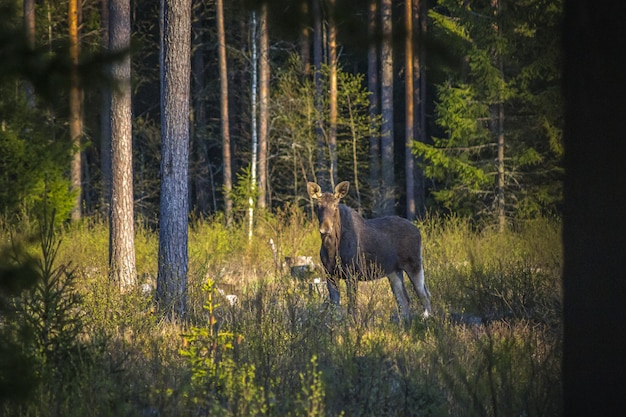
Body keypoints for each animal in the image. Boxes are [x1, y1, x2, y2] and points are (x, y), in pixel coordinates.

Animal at [306, 180, 428, 318]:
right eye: (318, 206)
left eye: (335, 205)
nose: (325, 228)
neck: (332, 248)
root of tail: (418, 231)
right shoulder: (330, 274)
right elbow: (336, 309)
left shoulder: (352, 274)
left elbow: (352, 307)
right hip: (394, 271)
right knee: (404, 300)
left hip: (414, 264)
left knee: (424, 295)